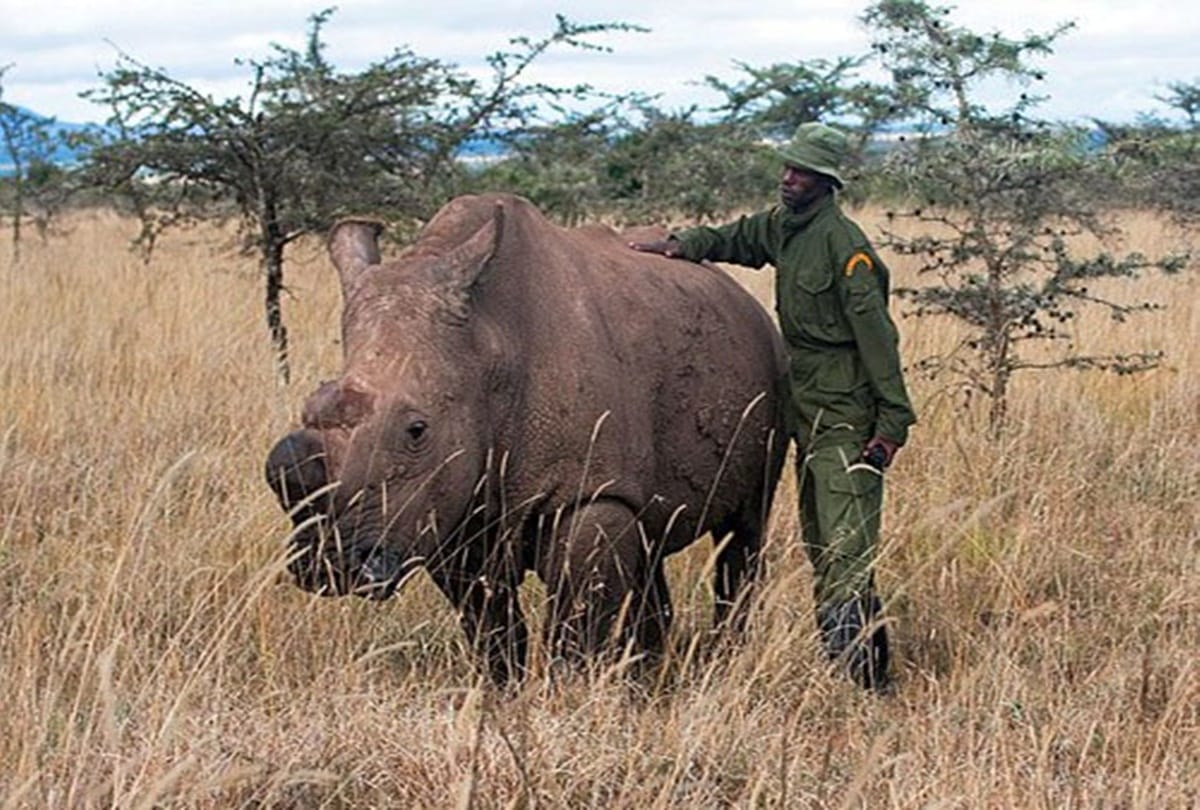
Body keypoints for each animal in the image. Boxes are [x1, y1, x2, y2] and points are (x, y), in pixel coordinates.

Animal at [265, 193, 787, 684]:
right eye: (309, 408)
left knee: (743, 530)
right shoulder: (447, 504)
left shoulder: (588, 491)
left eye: (416, 431)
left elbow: (578, 620)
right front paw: (503, 693)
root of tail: (739, 295)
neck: (487, 350)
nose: (328, 567)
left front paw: (571, 693)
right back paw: (649, 674)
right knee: (649, 541)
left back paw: (722, 659)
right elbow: (489, 622)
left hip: (772, 366)